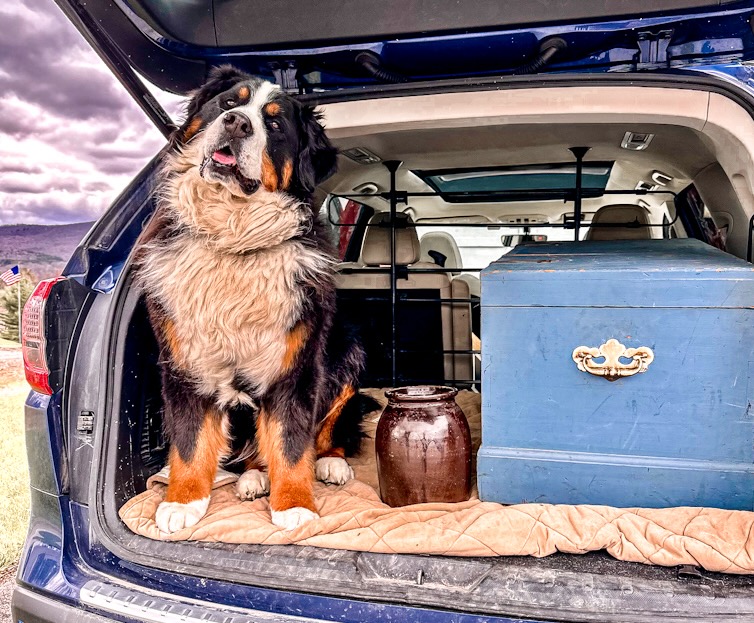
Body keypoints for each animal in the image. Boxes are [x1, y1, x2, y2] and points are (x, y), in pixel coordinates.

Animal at [134, 66, 374, 532]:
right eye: (229, 103)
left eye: (276, 125)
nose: (237, 124)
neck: (234, 240)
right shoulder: (184, 359)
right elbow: (189, 440)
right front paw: (184, 500)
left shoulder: (295, 362)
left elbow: (291, 441)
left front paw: (295, 504)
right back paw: (252, 477)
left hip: (349, 351)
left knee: (330, 428)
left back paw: (329, 463)